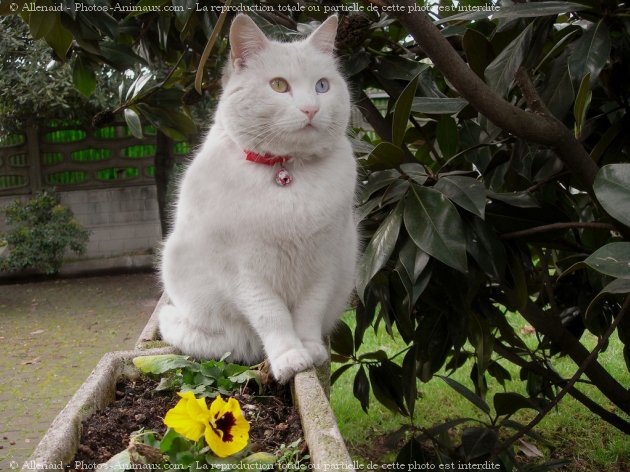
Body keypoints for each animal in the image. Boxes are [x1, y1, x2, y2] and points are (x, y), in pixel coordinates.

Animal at [159, 13, 360, 384]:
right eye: (279, 86)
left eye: (322, 86)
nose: (311, 109)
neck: (286, 171)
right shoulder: (245, 273)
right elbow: (273, 317)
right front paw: (289, 358)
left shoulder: (322, 263)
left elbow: (307, 314)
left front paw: (310, 350)